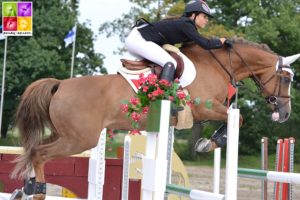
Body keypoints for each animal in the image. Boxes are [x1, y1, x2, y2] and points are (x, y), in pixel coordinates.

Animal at [11, 38, 298, 199]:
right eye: (286, 78)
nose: (284, 114)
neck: (217, 65)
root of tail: (60, 84)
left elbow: (232, 119)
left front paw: (206, 143)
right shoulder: (203, 108)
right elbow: (238, 119)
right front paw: (210, 144)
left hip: (64, 134)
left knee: (34, 150)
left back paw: (28, 186)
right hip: (80, 139)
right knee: (39, 154)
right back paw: (38, 191)